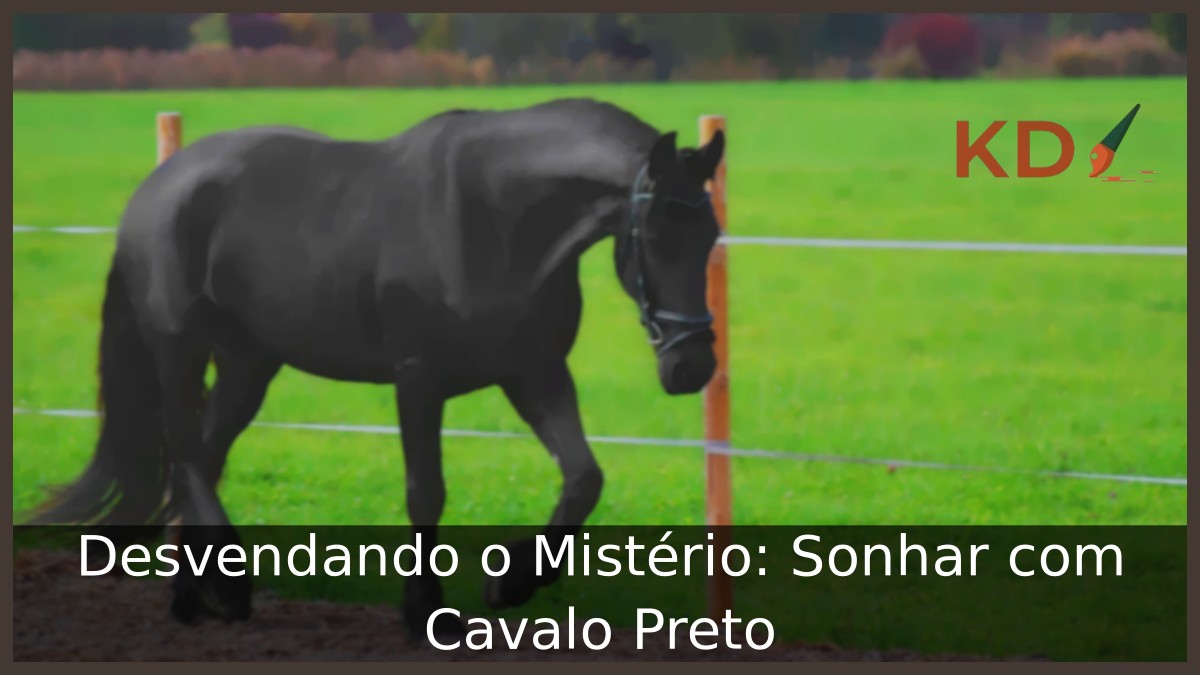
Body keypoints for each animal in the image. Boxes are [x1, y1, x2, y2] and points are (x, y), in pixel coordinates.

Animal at [31, 98, 725, 642]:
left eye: (712, 235)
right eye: (656, 236)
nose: (692, 366)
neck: (499, 217)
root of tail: (159, 186)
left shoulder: (536, 373)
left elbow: (583, 478)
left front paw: (508, 588)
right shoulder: (419, 380)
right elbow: (427, 491)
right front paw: (425, 612)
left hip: (248, 365)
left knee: (202, 454)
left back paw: (192, 599)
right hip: (179, 349)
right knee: (185, 452)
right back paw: (227, 594)